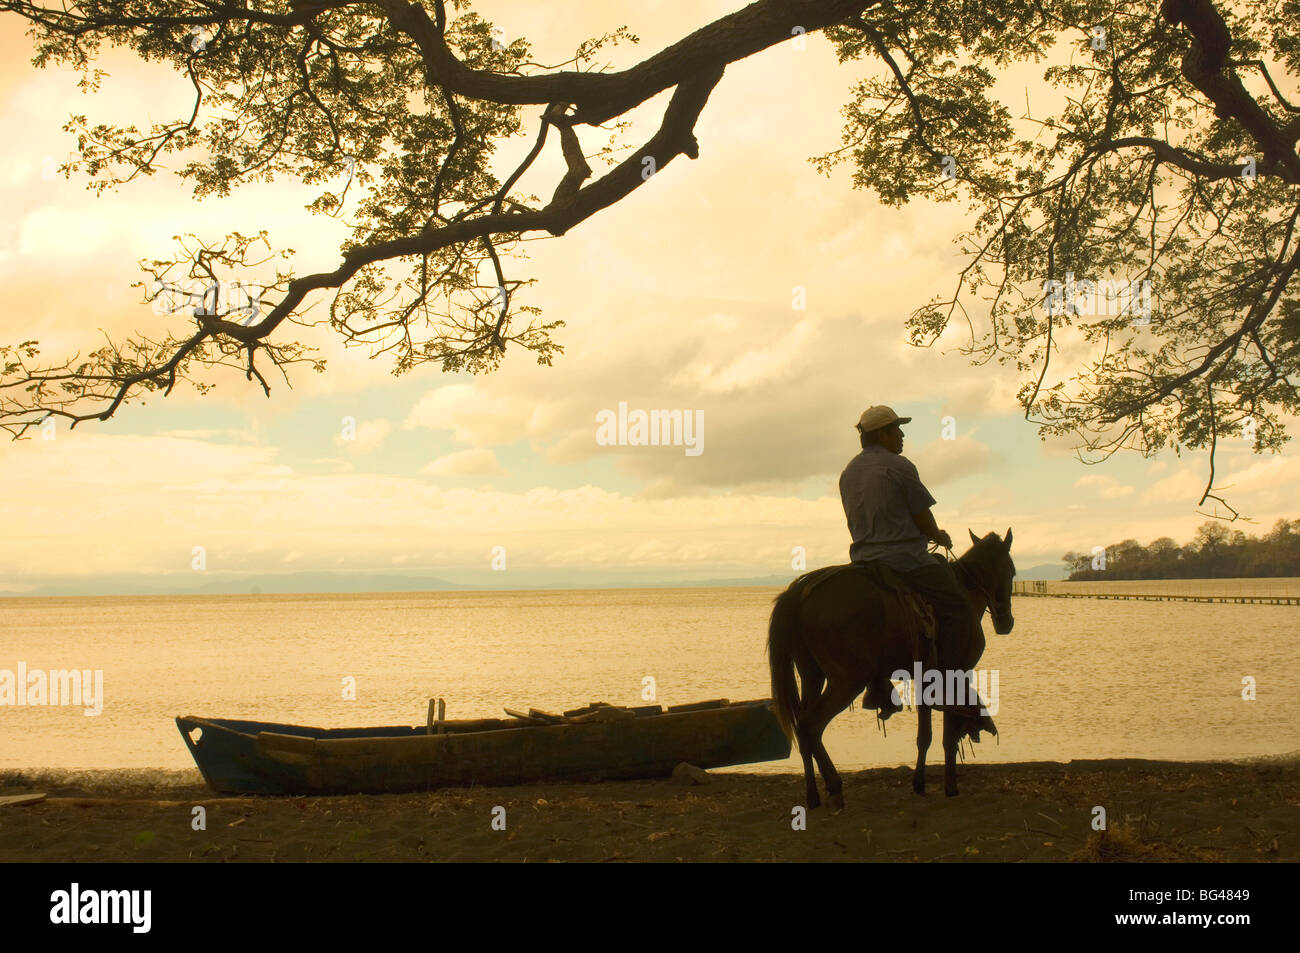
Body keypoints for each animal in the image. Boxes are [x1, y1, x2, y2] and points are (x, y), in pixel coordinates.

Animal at [764, 527, 1019, 800]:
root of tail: (802, 592)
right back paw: (834, 785)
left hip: (812, 674)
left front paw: (919, 783)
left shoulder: (926, 677)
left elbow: (924, 736)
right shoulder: (954, 674)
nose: (1006, 622)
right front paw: (950, 786)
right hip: (848, 680)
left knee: (801, 725)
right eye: (1011, 570)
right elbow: (949, 735)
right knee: (810, 725)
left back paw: (813, 795)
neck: (965, 591)